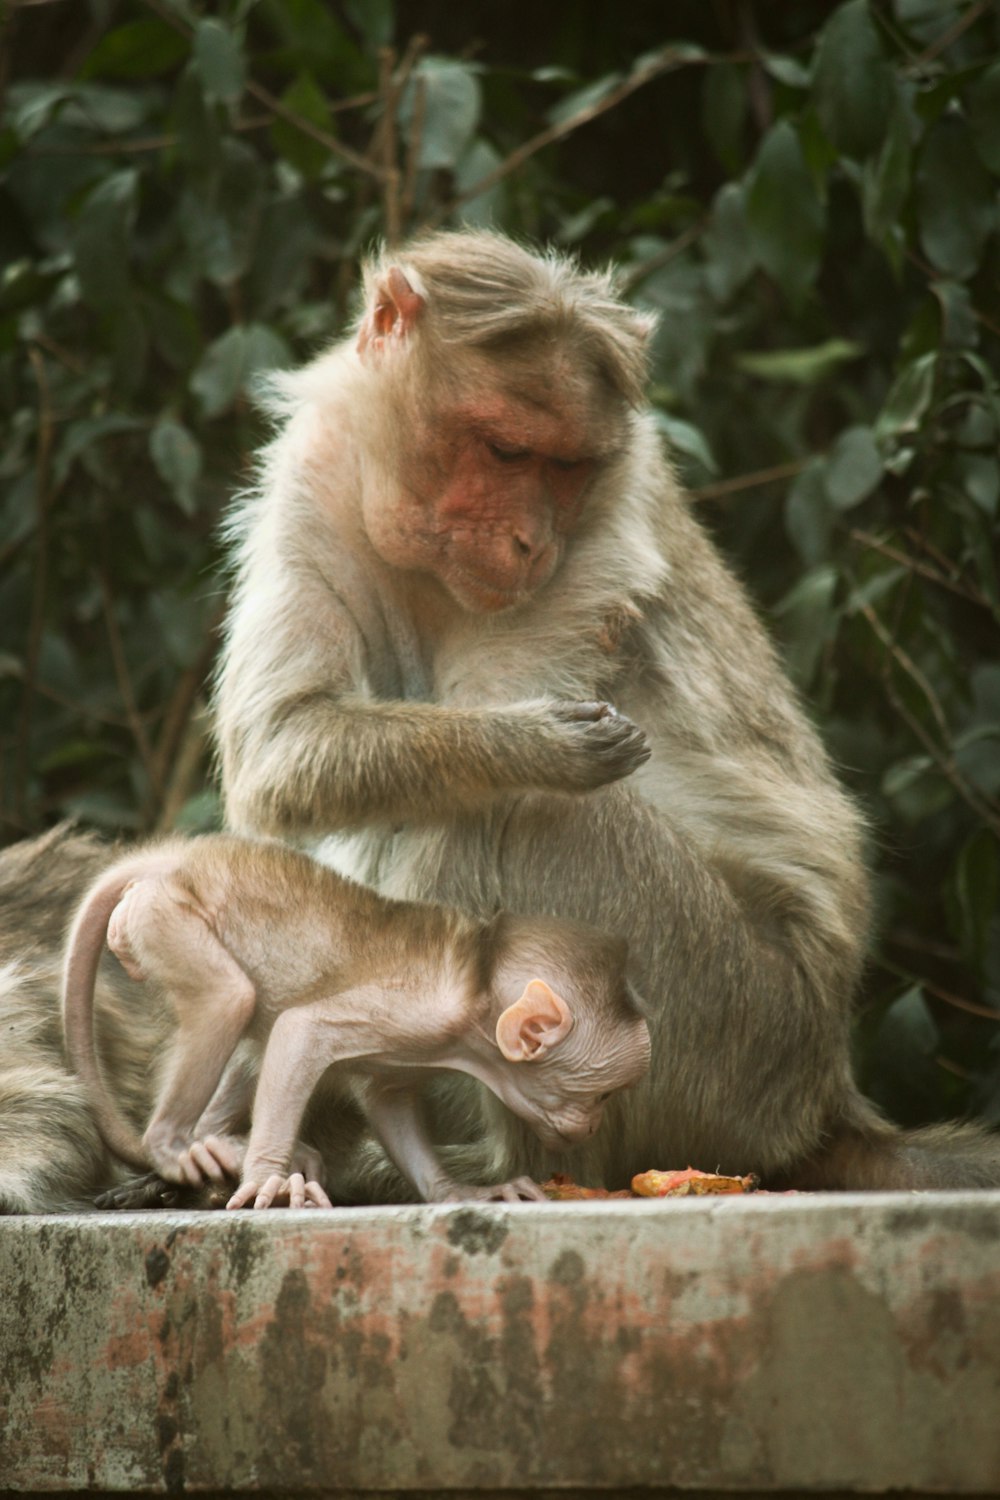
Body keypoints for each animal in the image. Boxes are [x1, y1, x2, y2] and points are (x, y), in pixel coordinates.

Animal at [64, 840, 656, 1212]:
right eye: (602, 1095)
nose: (591, 1126)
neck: (478, 987)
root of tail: (178, 858)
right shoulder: (418, 1011)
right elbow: (302, 1030)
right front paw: (265, 1180)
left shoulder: (412, 1049)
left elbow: (388, 1100)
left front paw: (459, 1193)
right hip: (166, 915)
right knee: (228, 1001)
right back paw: (176, 1145)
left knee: (252, 1036)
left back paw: (216, 1144)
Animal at [215, 231, 1000, 1194]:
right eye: (506, 453)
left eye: (568, 468)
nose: (528, 541)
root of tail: (825, 1099)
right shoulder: (311, 478)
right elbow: (285, 741)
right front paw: (528, 741)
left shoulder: (598, 536)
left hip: (726, 1029)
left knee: (505, 819)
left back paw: (513, 1159)